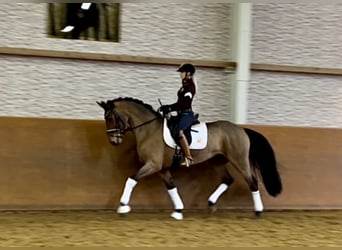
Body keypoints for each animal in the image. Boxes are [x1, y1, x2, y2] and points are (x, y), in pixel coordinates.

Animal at [95, 96, 280, 220]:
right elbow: (171, 187)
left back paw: (258, 211)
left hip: (239, 161)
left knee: (252, 182)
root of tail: (242, 129)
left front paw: (123, 207)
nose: (114, 141)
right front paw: (178, 211)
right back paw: (211, 203)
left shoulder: (152, 165)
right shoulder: (162, 169)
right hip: (217, 162)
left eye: (110, 118)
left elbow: (131, 179)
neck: (148, 130)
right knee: (228, 180)